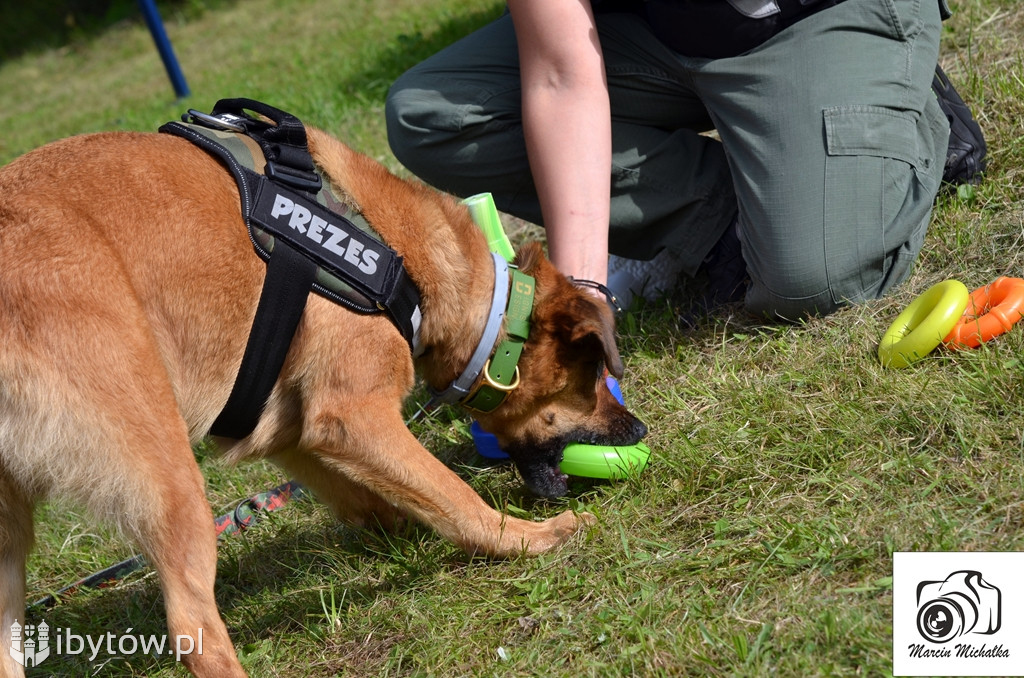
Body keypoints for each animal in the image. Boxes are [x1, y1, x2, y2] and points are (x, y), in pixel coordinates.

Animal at [0, 123, 638, 678]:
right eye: (591, 379)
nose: (637, 432)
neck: (397, 250)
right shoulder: (352, 415)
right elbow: (455, 497)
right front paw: (526, 538)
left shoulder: (294, 431)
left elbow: (386, 497)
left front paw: (400, 531)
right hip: (169, 478)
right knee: (190, 628)